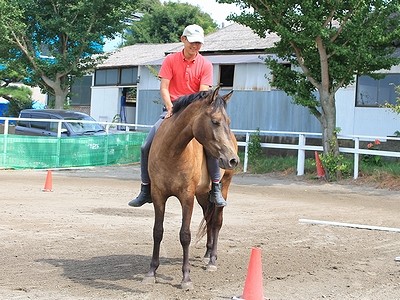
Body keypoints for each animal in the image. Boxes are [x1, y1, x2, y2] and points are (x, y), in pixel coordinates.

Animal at [143, 86, 239, 288]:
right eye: (215, 121)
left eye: (228, 122)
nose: (233, 160)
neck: (172, 152)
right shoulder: (158, 195)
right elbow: (157, 231)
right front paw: (151, 272)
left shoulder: (186, 197)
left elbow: (185, 235)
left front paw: (186, 278)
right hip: (203, 195)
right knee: (209, 220)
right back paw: (207, 254)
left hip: (223, 187)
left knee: (217, 222)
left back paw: (212, 260)